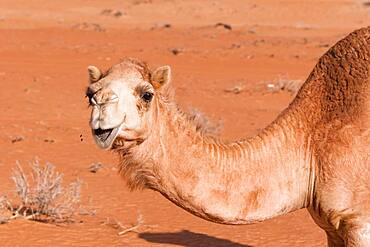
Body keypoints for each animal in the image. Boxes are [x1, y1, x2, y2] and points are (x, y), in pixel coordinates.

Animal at [85, 26, 370, 246]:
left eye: (147, 94)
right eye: (89, 94)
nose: (101, 107)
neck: (311, 139)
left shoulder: (359, 223)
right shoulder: (331, 229)